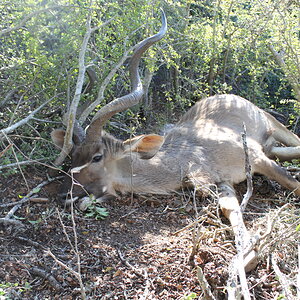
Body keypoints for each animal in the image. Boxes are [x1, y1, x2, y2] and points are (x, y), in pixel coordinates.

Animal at [51, 11, 300, 270]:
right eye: (72, 156)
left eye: (97, 157)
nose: (63, 195)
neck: (184, 157)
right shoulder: (223, 183)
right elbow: (230, 210)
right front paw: (247, 257)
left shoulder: (256, 158)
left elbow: (291, 182)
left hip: (274, 126)